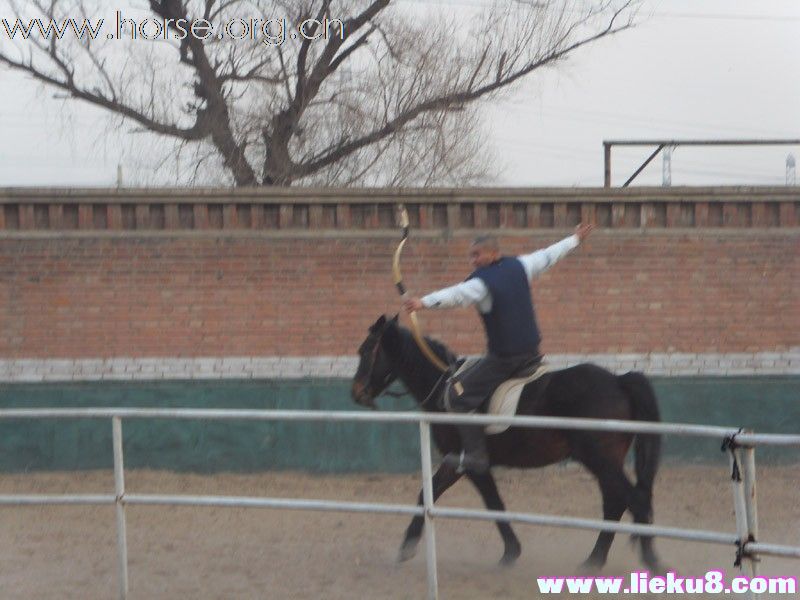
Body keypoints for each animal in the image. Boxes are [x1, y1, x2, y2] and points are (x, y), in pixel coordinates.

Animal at [354, 314, 664, 572]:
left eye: (367, 350)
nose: (356, 392)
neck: (444, 387)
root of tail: (619, 380)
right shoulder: (456, 462)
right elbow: (428, 495)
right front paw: (406, 547)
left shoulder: (470, 463)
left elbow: (493, 502)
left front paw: (511, 552)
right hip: (604, 461)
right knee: (616, 502)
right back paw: (595, 560)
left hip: (599, 459)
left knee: (631, 499)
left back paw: (649, 559)